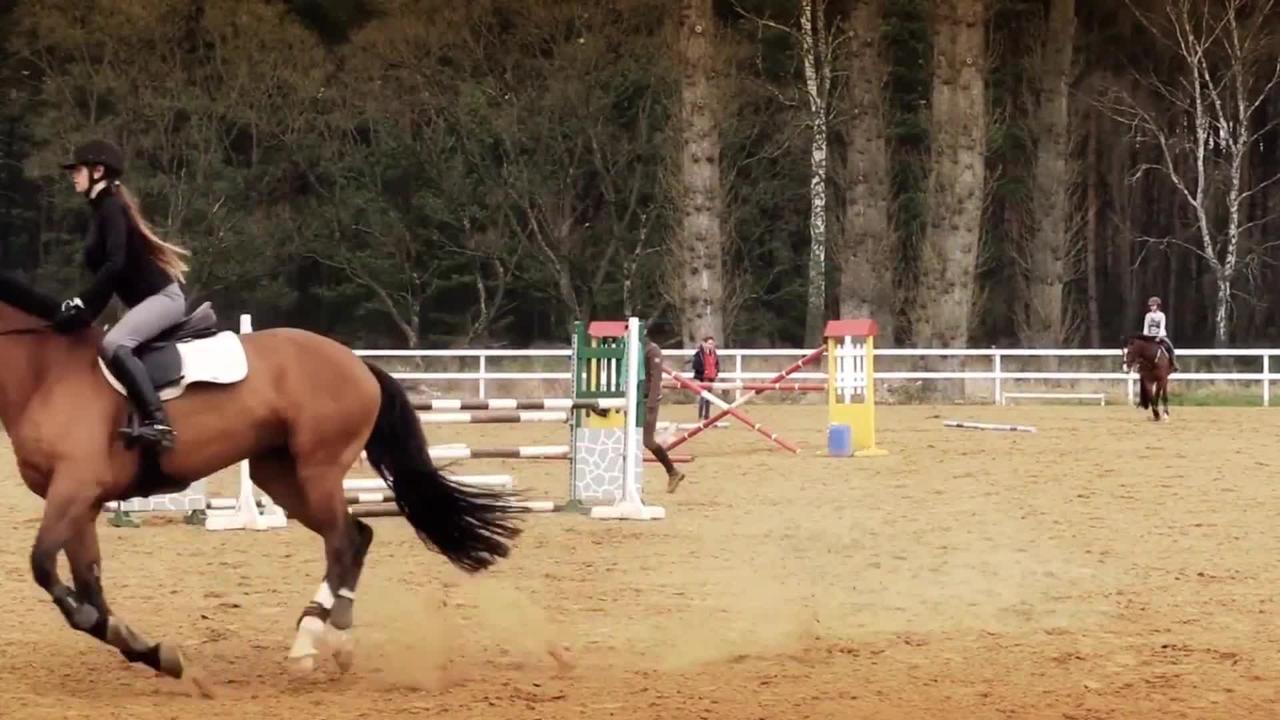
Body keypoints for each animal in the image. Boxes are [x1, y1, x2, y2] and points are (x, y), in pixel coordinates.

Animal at [0, 271, 530, 694]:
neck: (47, 373)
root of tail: (355, 361)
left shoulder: (74, 490)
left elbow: (47, 571)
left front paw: (132, 642)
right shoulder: (81, 502)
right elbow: (90, 590)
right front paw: (154, 654)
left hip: (317, 470)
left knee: (343, 540)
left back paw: (309, 643)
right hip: (282, 478)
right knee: (357, 536)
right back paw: (338, 637)